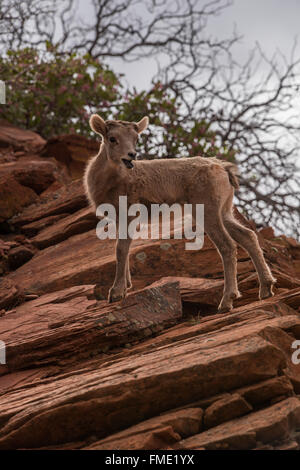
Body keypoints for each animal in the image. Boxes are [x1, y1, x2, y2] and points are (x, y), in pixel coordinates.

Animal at [83, 114, 276, 312]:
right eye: (112, 138)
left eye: (136, 139)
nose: (131, 155)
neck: (108, 181)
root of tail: (224, 170)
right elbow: (125, 249)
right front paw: (127, 286)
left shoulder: (128, 216)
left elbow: (120, 250)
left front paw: (116, 293)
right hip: (225, 212)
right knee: (248, 236)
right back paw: (266, 289)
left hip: (207, 212)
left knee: (227, 246)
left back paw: (226, 302)